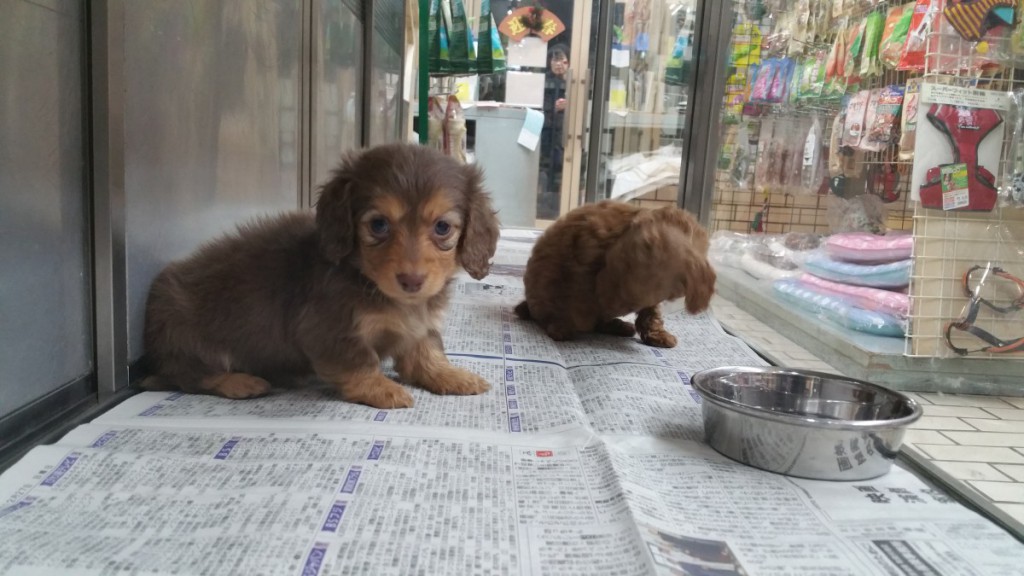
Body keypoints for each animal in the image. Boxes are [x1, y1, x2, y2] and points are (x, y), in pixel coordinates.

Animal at [142, 143, 500, 409]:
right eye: (378, 224)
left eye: (442, 227)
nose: (411, 281)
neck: (370, 283)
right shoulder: (329, 330)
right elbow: (360, 361)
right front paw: (382, 388)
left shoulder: (419, 327)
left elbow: (426, 353)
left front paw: (452, 376)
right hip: (189, 340)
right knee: (189, 377)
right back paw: (239, 382)